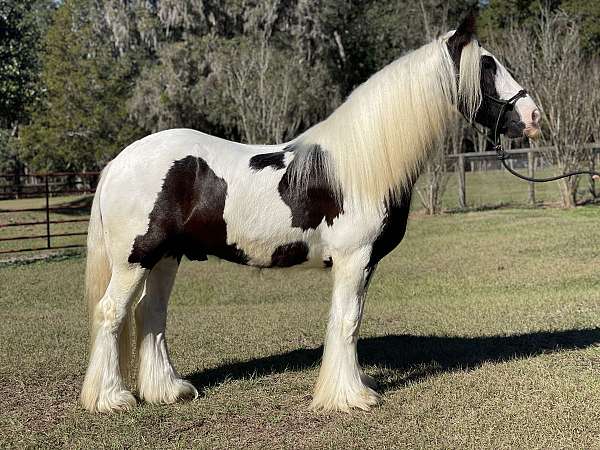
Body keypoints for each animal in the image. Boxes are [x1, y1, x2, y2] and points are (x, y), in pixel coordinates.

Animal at [77, 15, 540, 414]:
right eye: (487, 65)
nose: (533, 116)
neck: (361, 163)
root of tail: (119, 161)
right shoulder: (354, 258)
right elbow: (347, 322)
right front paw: (351, 397)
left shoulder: (364, 262)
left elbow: (349, 321)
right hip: (135, 259)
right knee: (111, 312)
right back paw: (111, 399)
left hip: (166, 258)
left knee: (150, 314)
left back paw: (168, 391)